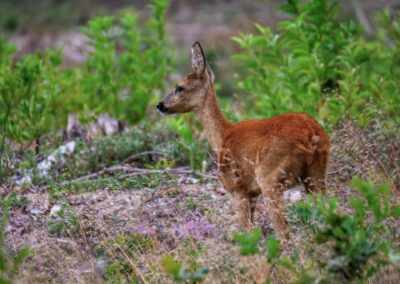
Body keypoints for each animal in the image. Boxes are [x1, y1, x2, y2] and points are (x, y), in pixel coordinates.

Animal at [156, 41, 328, 242]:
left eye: (179, 87)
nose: (159, 105)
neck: (222, 137)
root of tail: (312, 135)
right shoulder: (252, 193)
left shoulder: (236, 189)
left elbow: (248, 233)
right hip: (317, 175)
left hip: (270, 178)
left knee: (284, 232)